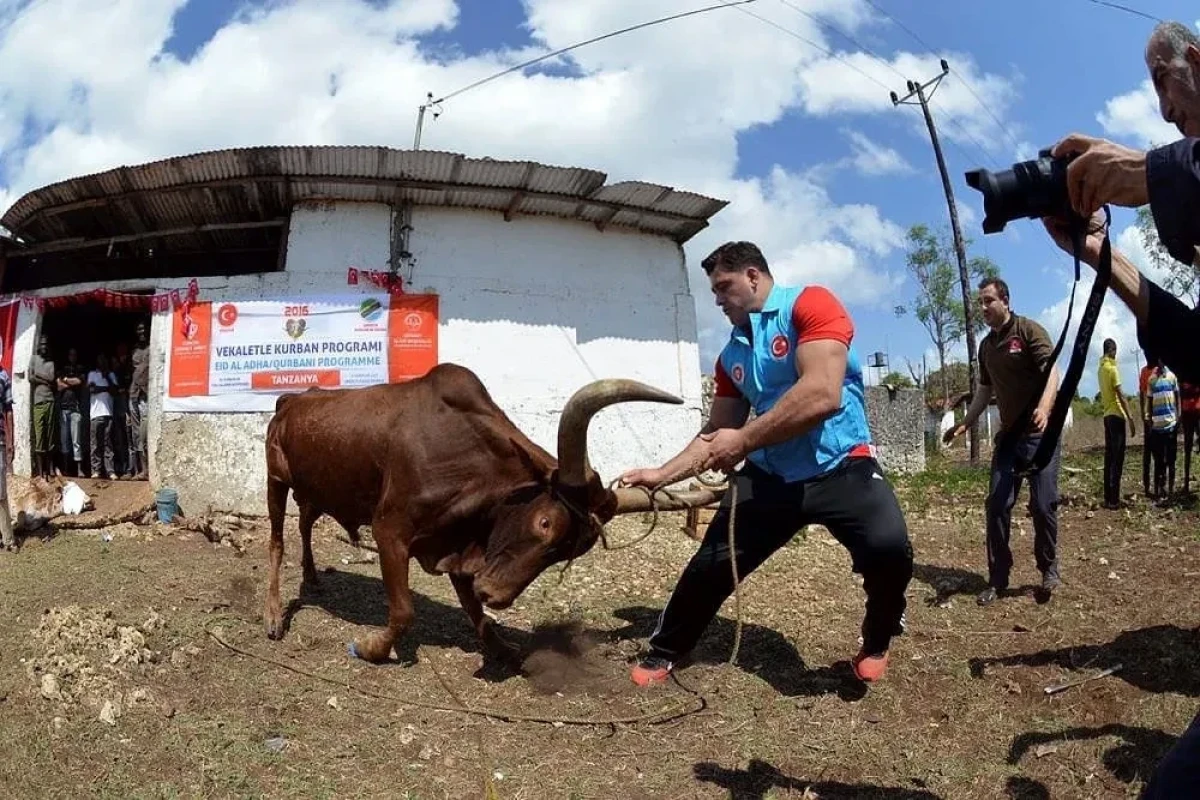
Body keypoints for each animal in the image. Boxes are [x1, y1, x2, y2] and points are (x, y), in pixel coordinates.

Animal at [262, 362, 715, 662]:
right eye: (544, 523)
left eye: (573, 550)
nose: (496, 594)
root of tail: (291, 399)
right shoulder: (390, 531)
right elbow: (404, 610)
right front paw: (373, 648)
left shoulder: (461, 545)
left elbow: (474, 611)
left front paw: (503, 648)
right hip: (276, 480)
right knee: (277, 542)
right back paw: (273, 615)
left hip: (315, 491)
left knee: (304, 526)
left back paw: (312, 578)